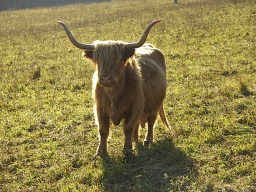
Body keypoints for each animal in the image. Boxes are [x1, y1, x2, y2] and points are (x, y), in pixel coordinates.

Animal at [58, 19, 170, 158]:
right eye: (98, 60)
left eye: (117, 60)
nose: (106, 78)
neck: (113, 94)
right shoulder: (100, 109)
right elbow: (103, 131)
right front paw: (101, 152)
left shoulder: (135, 106)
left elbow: (128, 128)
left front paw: (127, 150)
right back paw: (135, 140)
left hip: (156, 105)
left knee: (151, 122)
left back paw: (147, 140)